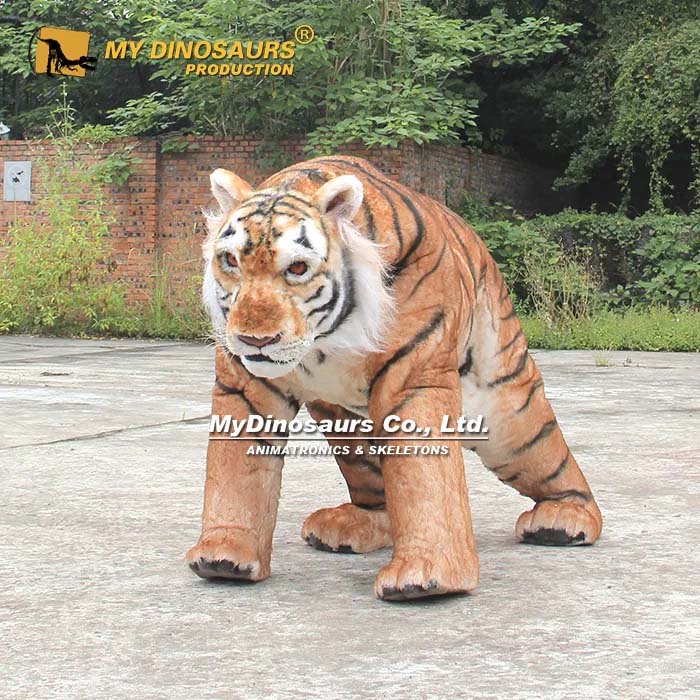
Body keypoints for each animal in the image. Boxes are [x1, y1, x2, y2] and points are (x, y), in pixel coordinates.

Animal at [185, 154, 603, 601]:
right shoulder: (245, 385)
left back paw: (563, 519)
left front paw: (426, 576)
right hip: (345, 425)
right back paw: (349, 525)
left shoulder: (415, 376)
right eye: (231, 261)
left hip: (509, 414)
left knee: (549, 455)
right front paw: (223, 553)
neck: (325, 339)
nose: (254, 340)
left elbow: (424, 480)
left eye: (297, 268)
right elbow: (236, 473)